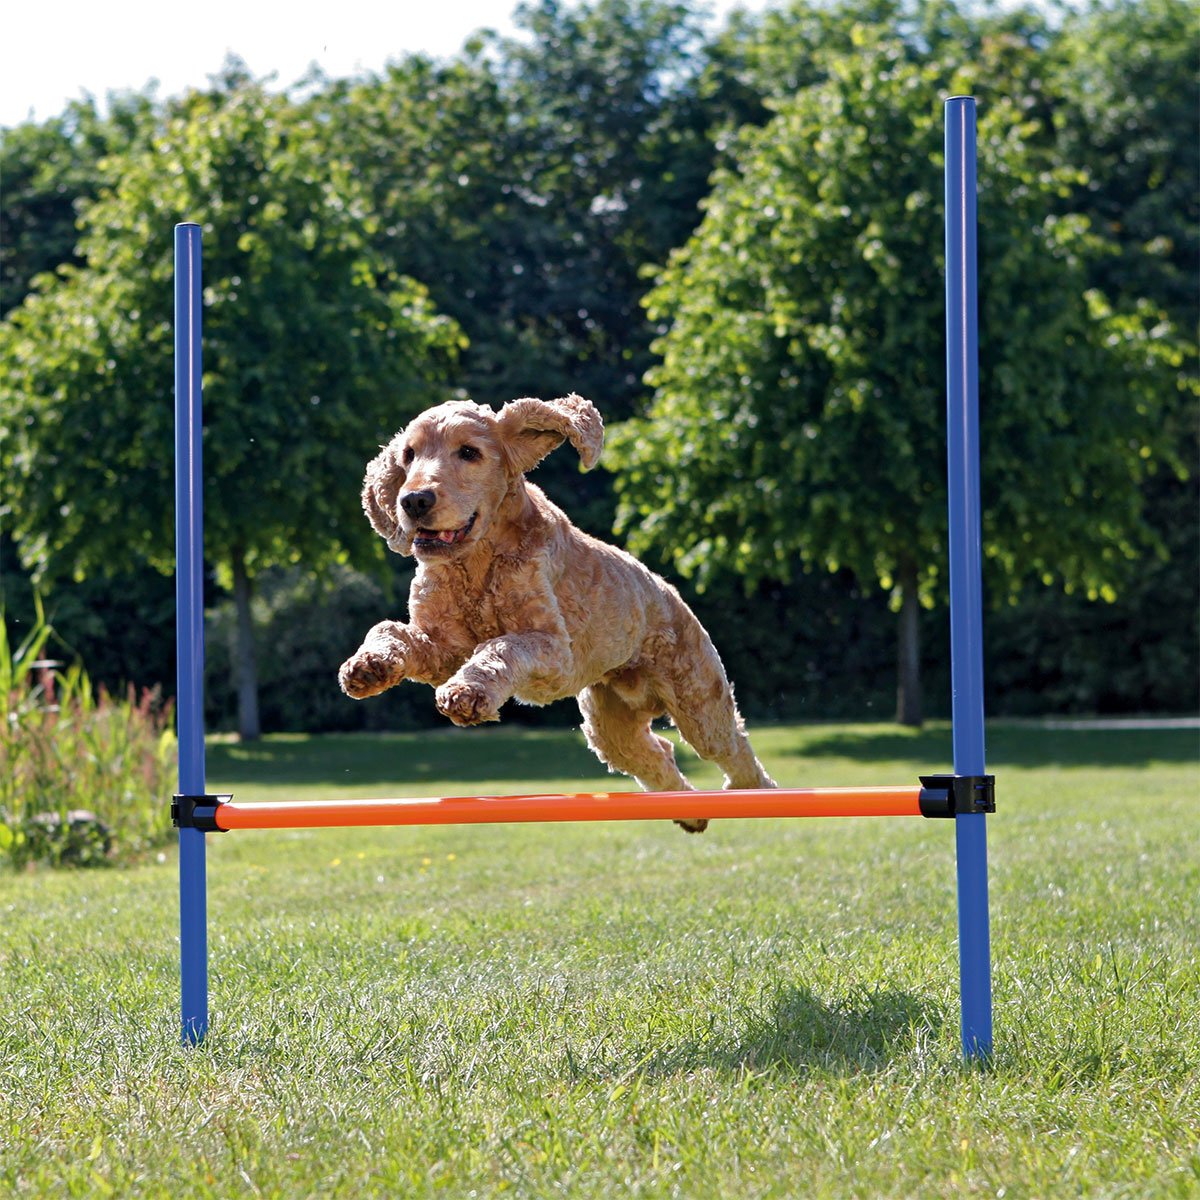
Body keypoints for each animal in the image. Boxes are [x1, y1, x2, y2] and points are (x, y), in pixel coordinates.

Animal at [336, 398, 777, 830]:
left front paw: (467, 694)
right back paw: (691, 813)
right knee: (659, 754)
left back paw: (758, 793)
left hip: (697, 700)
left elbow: (500, 647)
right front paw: (368, 666)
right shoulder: (442, 645)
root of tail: (668, 590)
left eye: (469, 452)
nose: (413, 501)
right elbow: (391, 630)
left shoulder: (551, 650)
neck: (476, 563)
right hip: (610, 724)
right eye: (409, 455)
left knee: (732, 745)